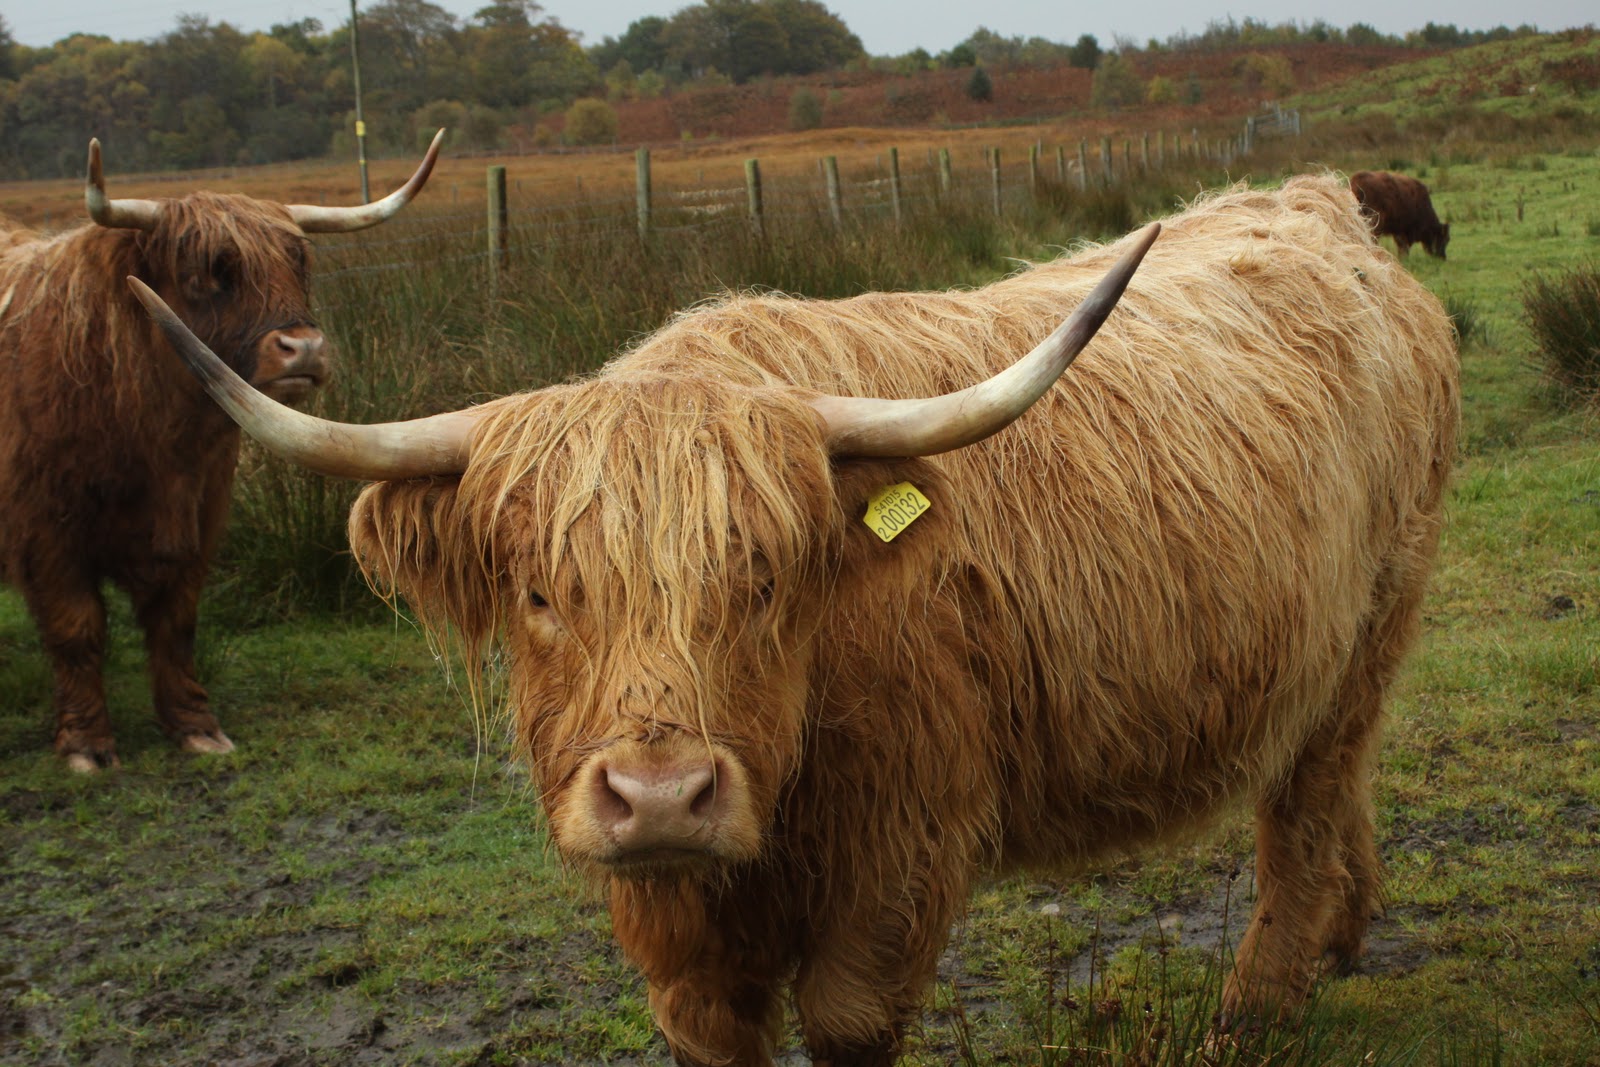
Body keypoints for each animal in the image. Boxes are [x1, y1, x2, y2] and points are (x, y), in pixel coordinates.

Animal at [0, 132, 443, 773]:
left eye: (298, 262)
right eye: (210, 271)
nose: (304, 348)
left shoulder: (200, 514)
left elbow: (176, 620)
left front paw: (194, 727)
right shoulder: (45, 532)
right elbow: (75, 628)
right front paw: (87, 745)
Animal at [133, 175, 1460, 1065]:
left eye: (764, 581)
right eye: (542, 595)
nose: (661, 795)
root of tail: (1319, 212)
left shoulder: (896, 859)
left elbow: (848, 1019)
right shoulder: (676, 934)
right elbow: (712, 1025)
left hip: (1375, 616)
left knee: (1302, 803)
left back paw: (1261, 1000)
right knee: (1334, 782)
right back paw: (1345, 932)